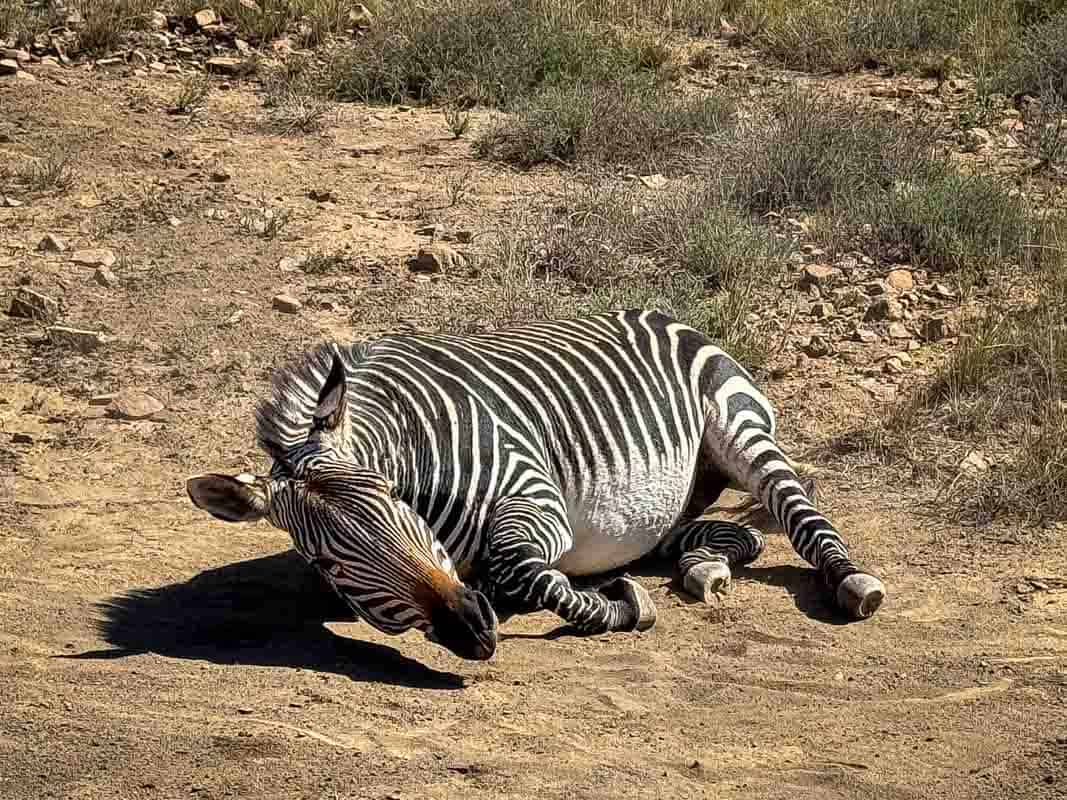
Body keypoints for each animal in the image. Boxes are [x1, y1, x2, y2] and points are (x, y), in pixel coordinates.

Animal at [187, 309, 887, 661]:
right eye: (328, 564)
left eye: (390, 498)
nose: (471, 627)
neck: (413, 442)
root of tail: (662, 312)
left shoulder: (536, 496)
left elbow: (520, 568)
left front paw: (622, 607)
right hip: (654, 512)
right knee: (735, 535)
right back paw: (703, 567)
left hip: (740, 430)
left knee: (799, 516)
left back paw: (851, 580)